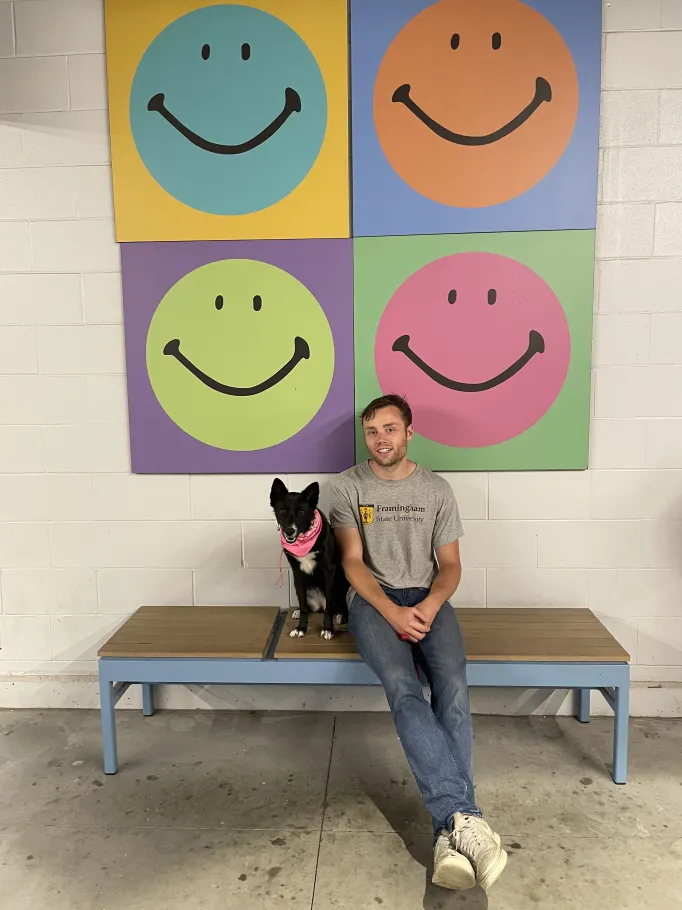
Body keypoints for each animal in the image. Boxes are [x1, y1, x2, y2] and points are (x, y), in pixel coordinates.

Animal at [270, 478, 348, 640]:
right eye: (282, 512)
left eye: (301, 512)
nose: (289, 531)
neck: (304, 540)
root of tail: (319, 605)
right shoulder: (297, 573)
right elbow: (304, 605)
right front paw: (301, 628)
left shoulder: (329, 571)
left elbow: (329, 607)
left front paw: (328, 629)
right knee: (308, 606)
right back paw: (298, 611)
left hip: (340, 585)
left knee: (336, 605)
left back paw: (341, 615)